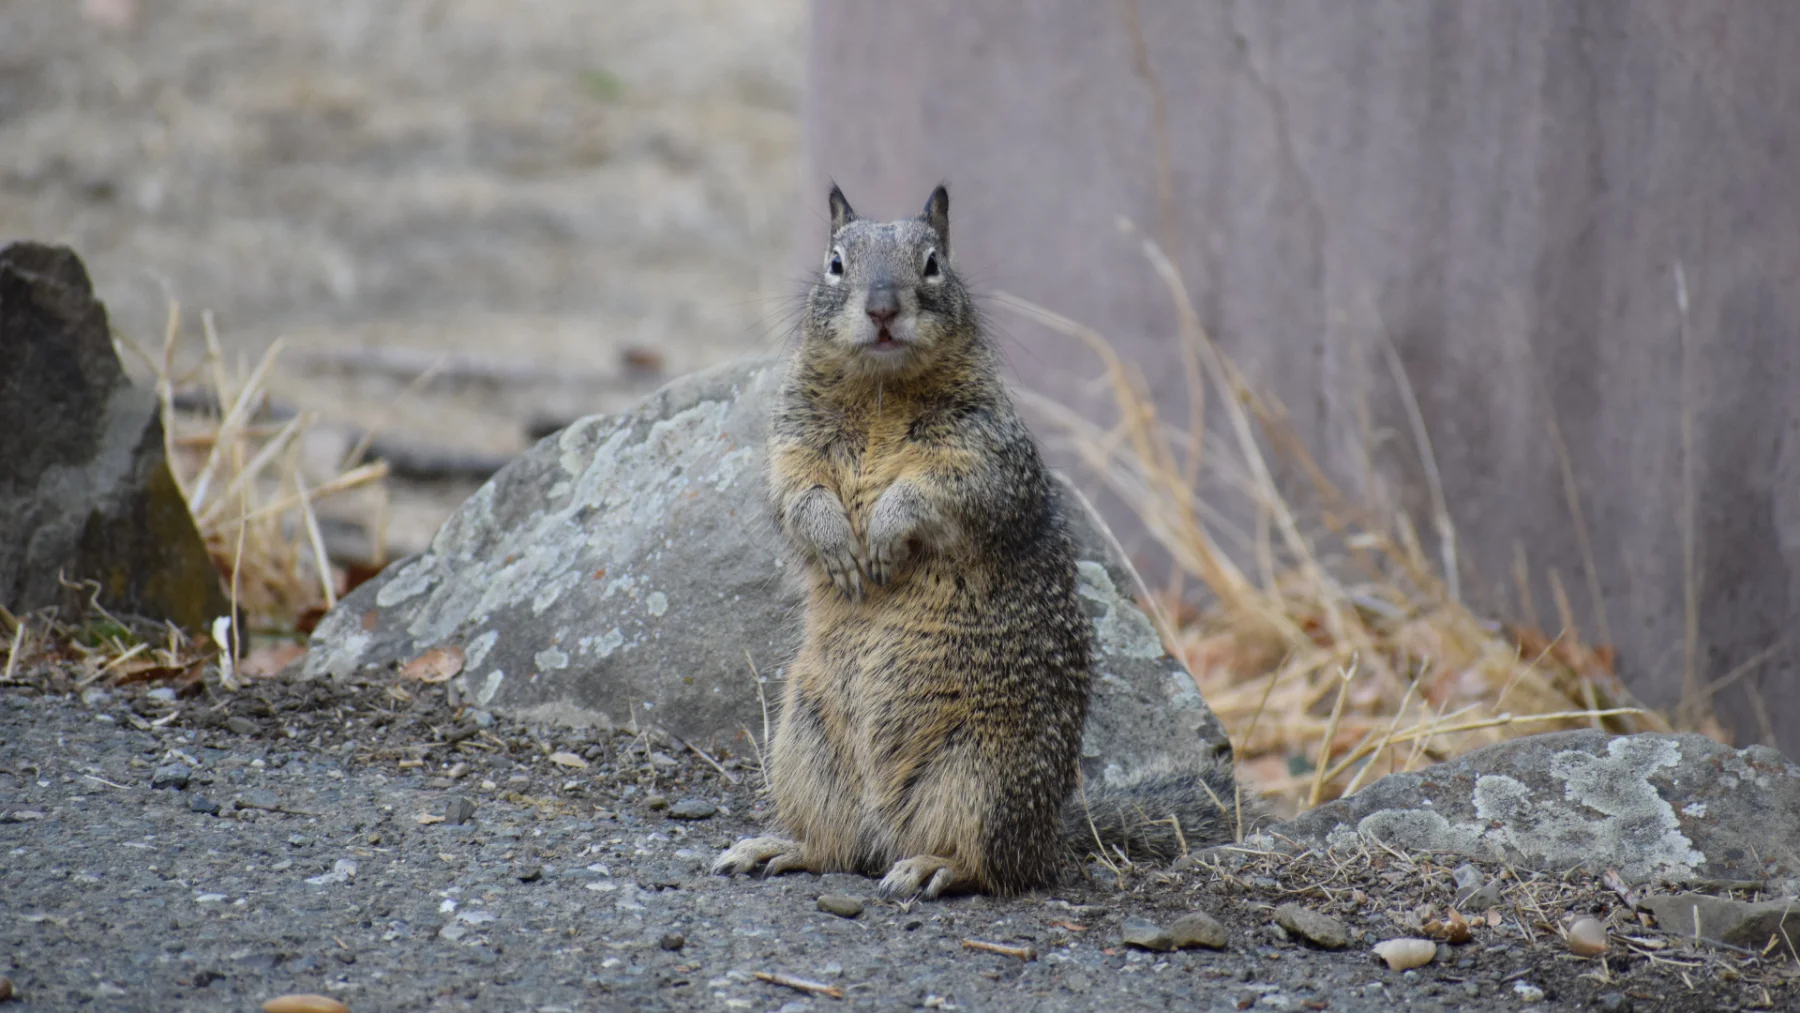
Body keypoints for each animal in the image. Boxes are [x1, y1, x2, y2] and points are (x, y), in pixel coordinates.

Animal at [712, 184, 1246, 898]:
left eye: (934, 263)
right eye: (835, 264)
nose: (883, 308)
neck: (881, 391)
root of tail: (1051, 834)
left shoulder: (984, 456)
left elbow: (936, 493)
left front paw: (883, 535)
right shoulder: (791, 446)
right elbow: (795, 497)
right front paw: (838, 547)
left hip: (980, 777)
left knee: (990, 865)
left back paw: (932, 866)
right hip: (806, 749)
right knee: (840, 848)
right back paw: (781, 847)